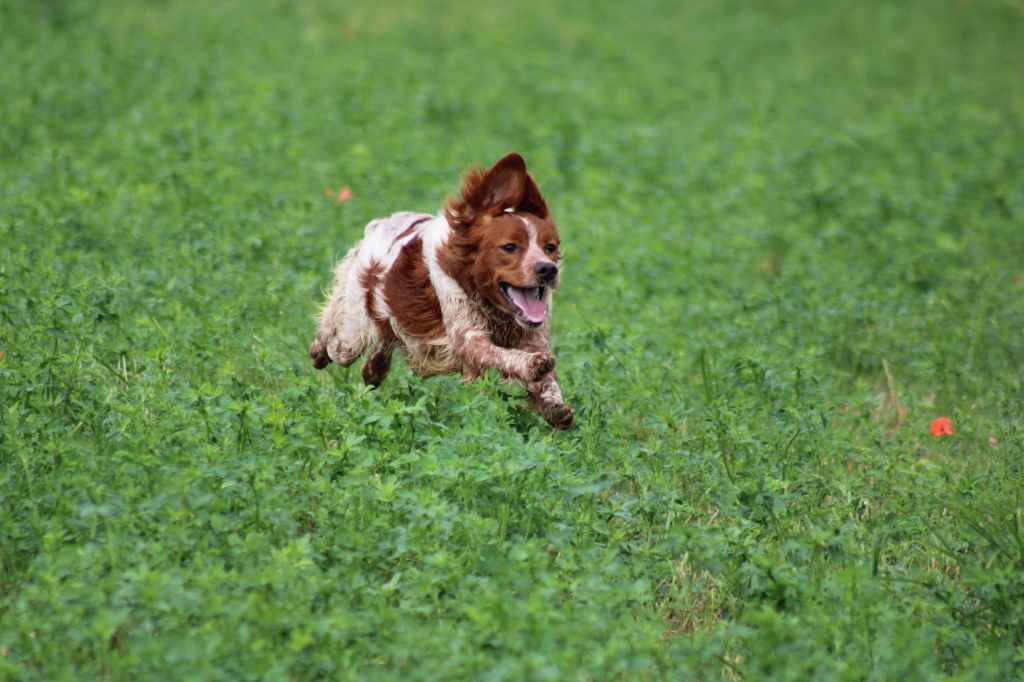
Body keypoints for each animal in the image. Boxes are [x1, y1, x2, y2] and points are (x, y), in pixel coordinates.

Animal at [307, 151, 573, 428]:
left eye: (550, 247)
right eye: (510, 247)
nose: (548, 270)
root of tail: (382, 224)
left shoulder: (534, 338)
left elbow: (548, 383)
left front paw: (554, 406)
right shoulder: (469, 339)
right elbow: (504, 356)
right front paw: (534, 365)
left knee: (382, 343)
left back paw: (373, 369)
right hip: (352, 332)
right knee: (335, 336)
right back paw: (318, 351)